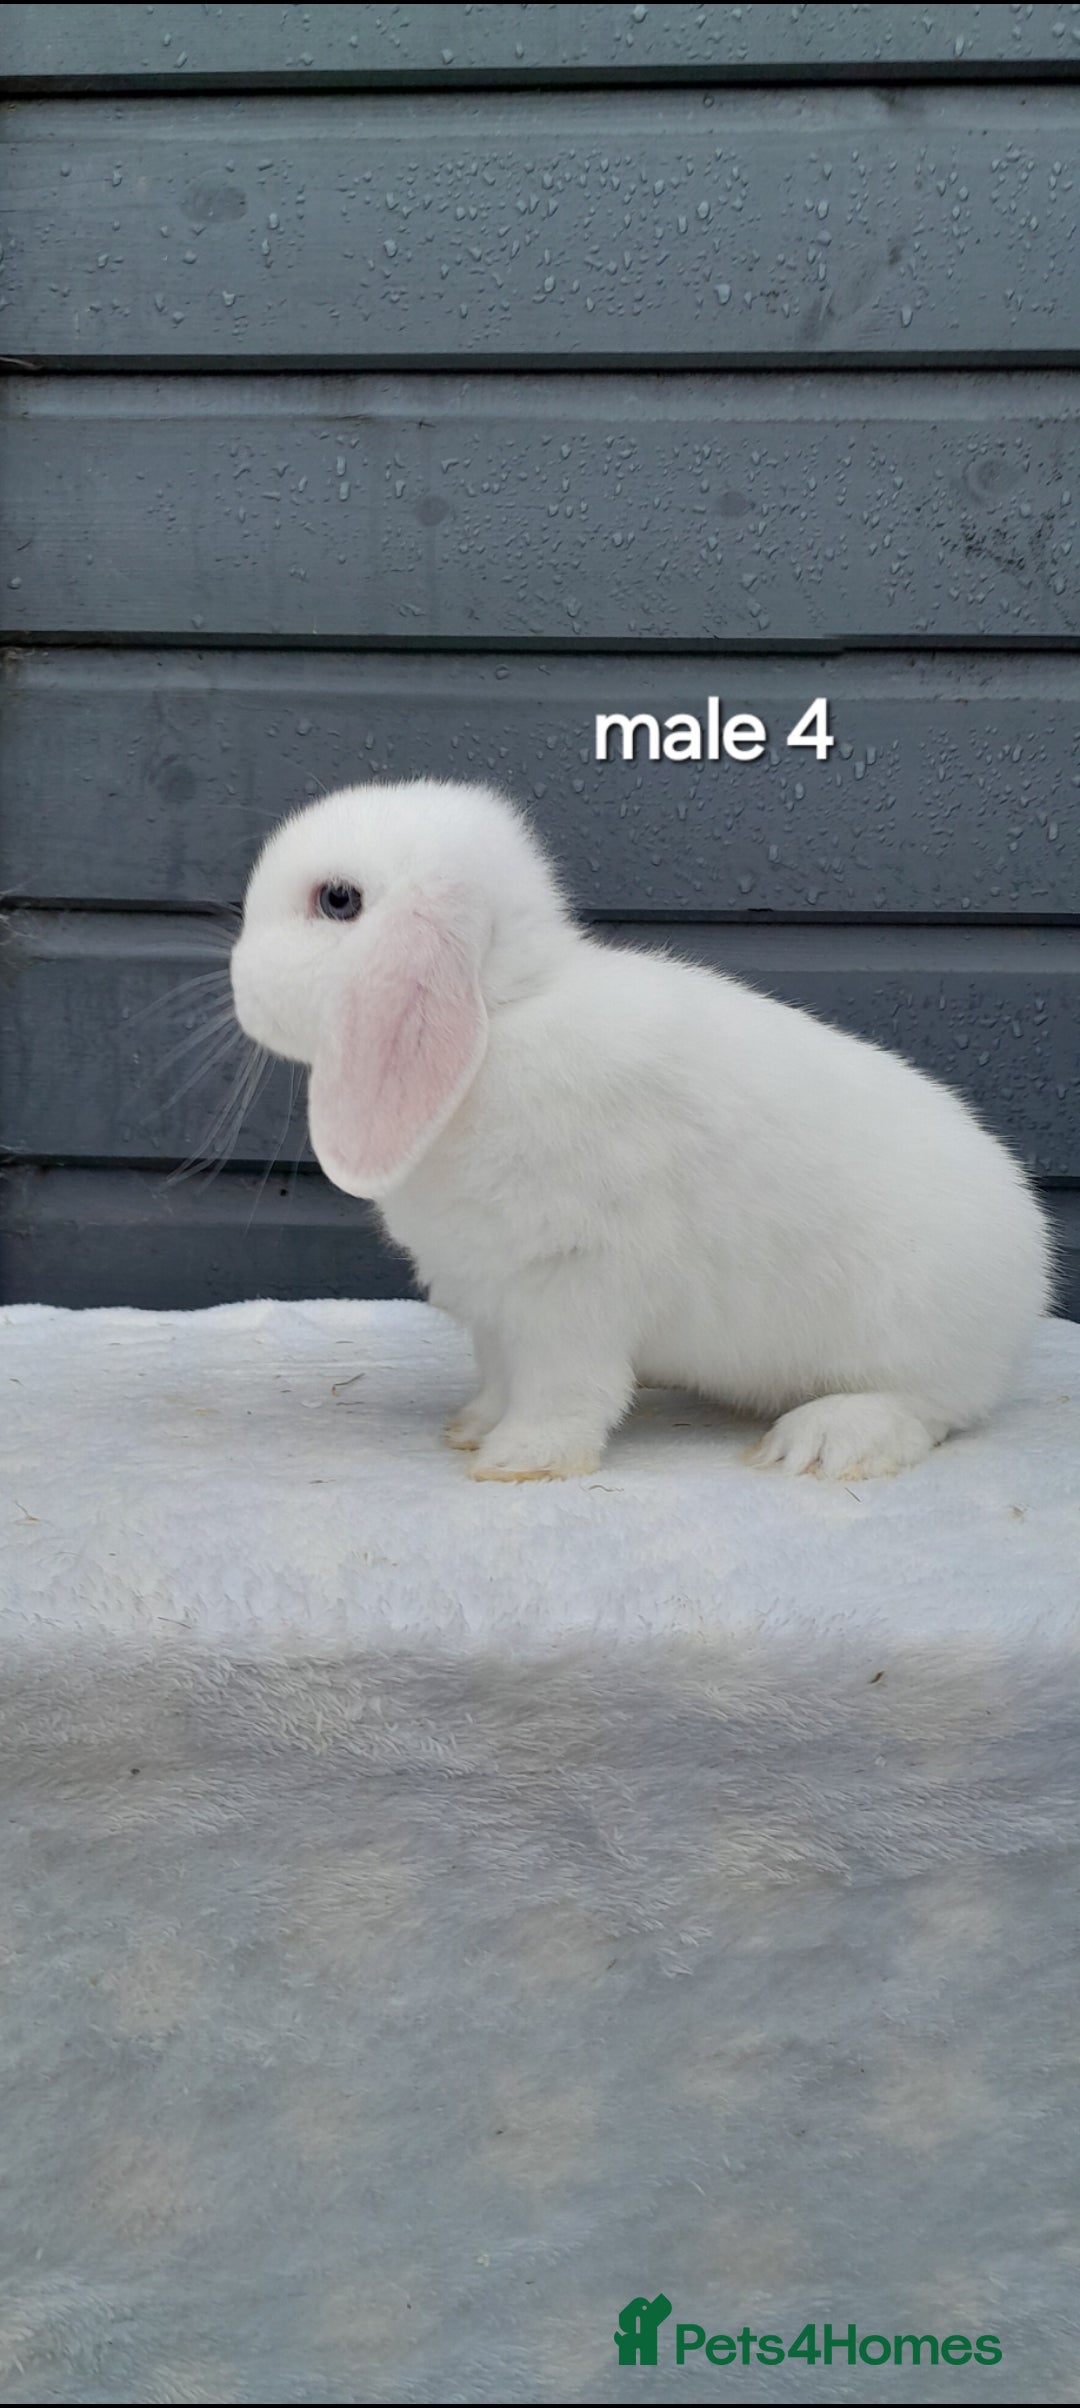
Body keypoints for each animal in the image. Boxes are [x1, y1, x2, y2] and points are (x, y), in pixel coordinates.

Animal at [230, 778, 1051, 1483]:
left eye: (338, 900)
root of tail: (1029, 1273)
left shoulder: (573, 1282)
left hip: (914, 1332)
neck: (499, 1022)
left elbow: (563, 1389)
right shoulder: (494, 1300)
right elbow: (499, 1375)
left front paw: (520, 1460)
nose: (238, 983)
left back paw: (823, 1440)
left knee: (929, 1408)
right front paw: (472, 1427)